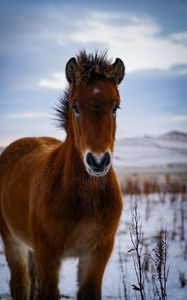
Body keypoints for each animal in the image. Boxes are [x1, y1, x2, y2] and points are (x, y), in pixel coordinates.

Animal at [0, 50, 125, 298]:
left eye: (115, 107)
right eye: (75, 106)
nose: (98, 161)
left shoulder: (97, 254)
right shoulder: (48, 254)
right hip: (12, 241)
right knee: (21, 283)